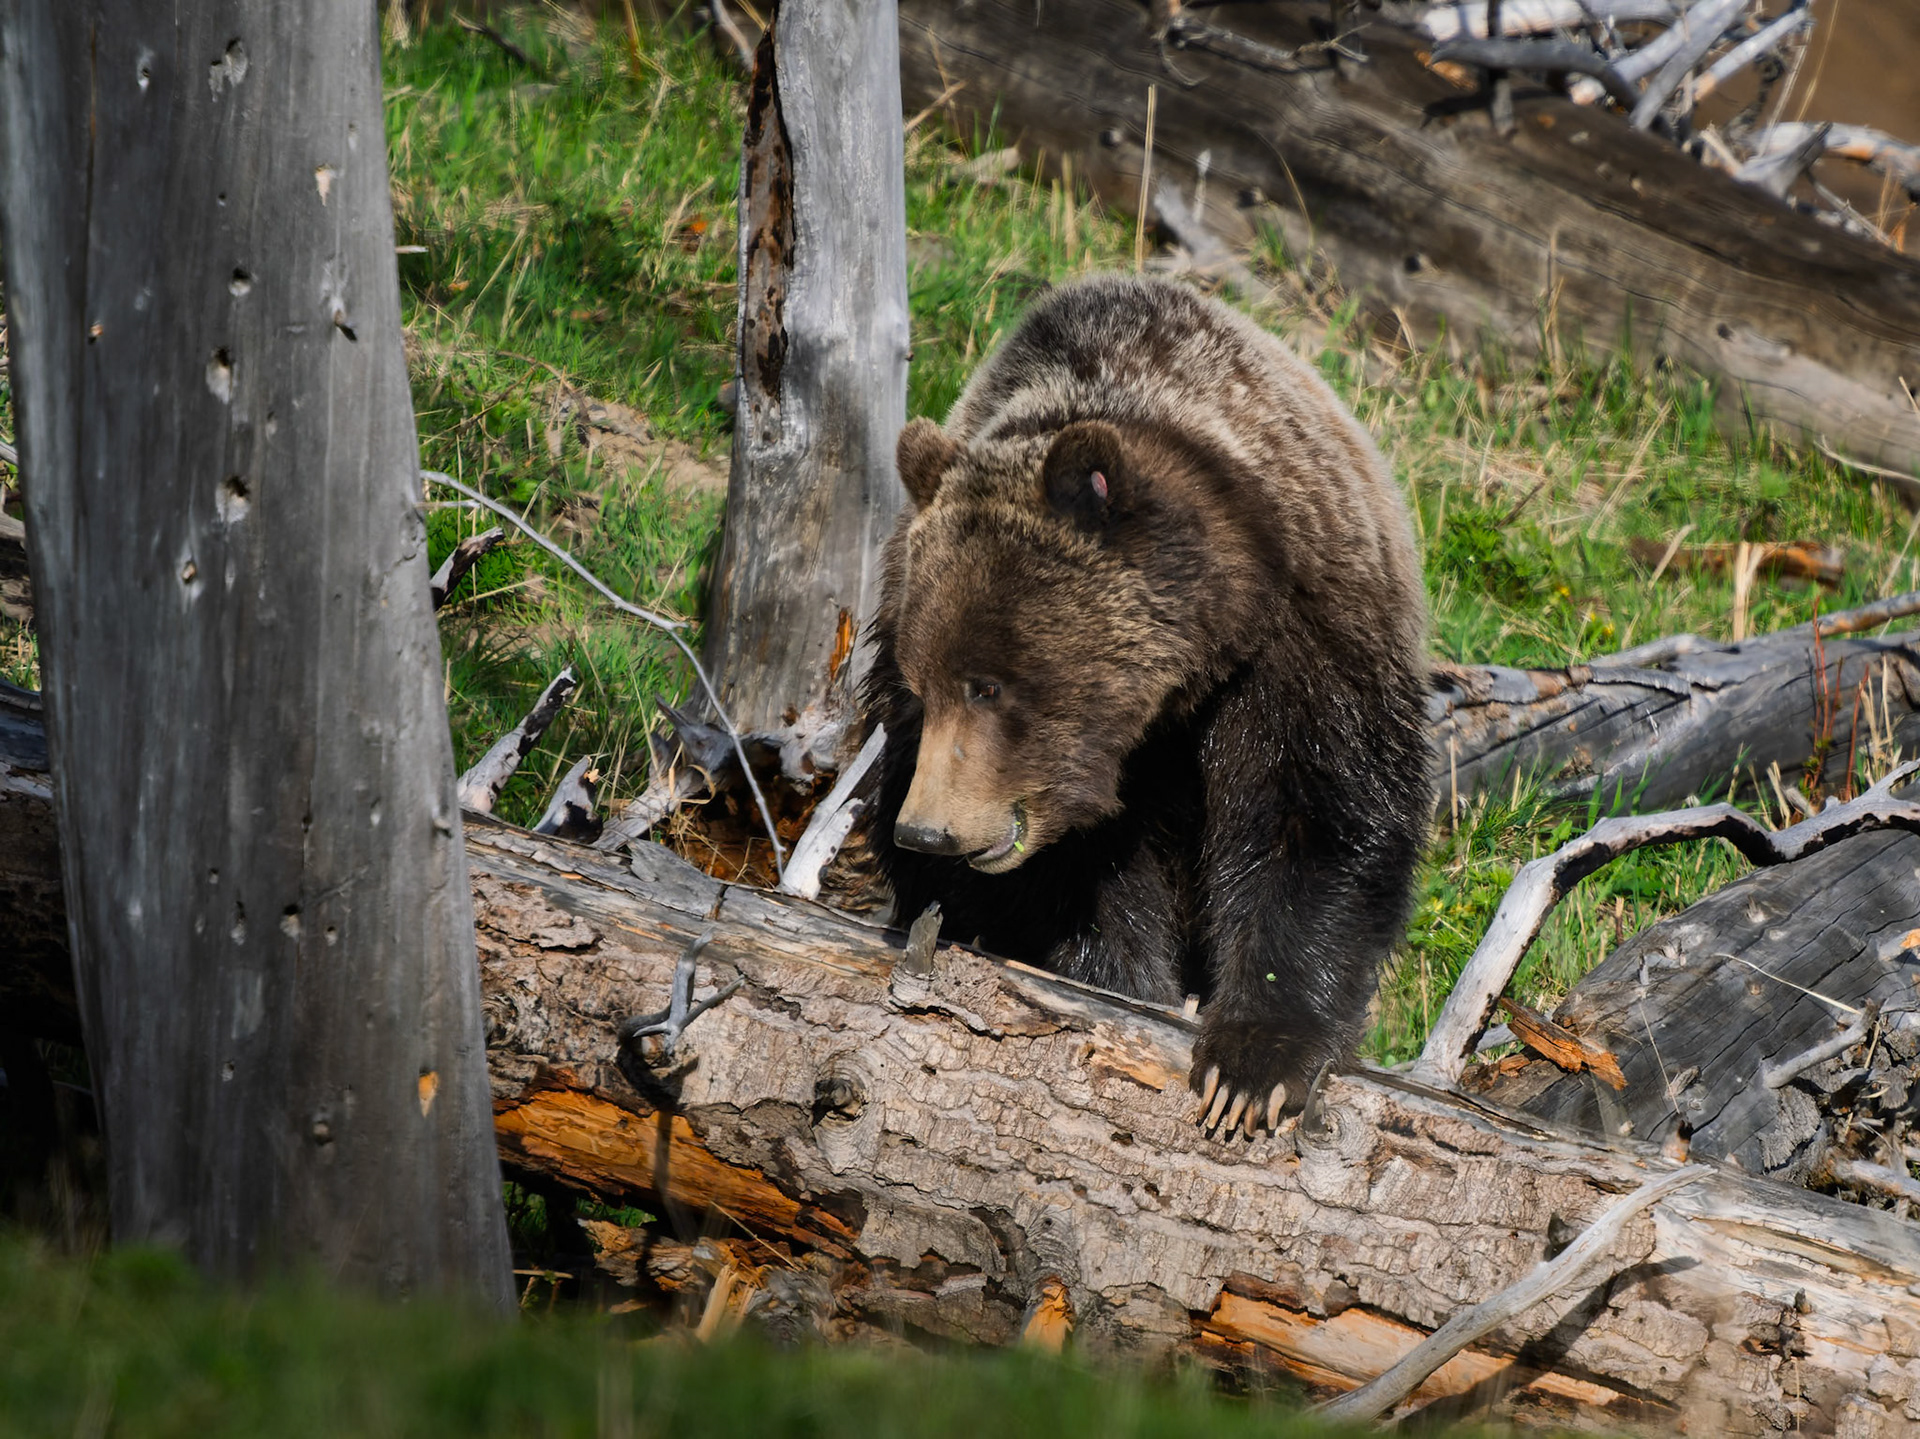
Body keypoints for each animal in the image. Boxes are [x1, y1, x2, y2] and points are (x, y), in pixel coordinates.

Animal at [861, 274, 1431, 1138]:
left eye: (988, 683)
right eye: (925, 684)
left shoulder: (1307, 641)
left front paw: (1253, 1062)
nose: (930, 830)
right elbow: (1080, 884)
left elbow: (1316, 819)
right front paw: (1125, 988)